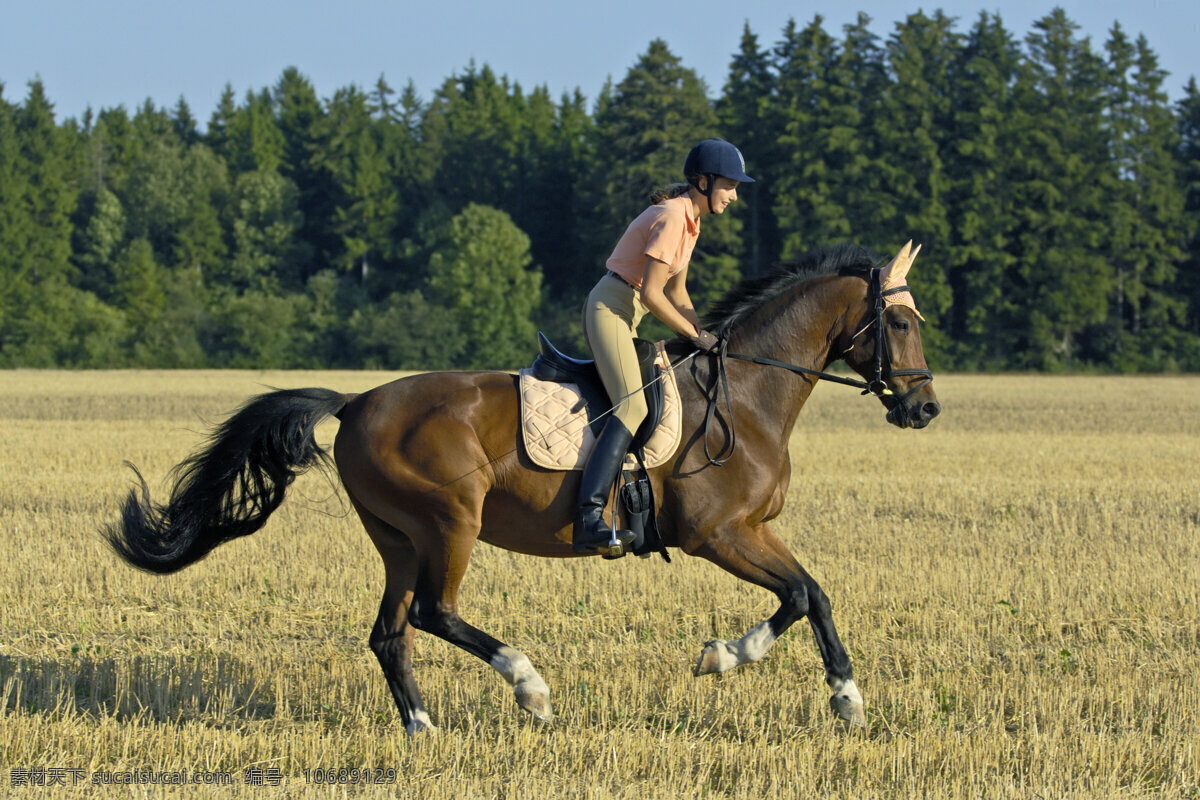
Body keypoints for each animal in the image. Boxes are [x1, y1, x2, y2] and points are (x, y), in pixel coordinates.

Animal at [105, 241, 936, 734]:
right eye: (898, 322)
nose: (924, 408)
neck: (748, 394)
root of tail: (355, 402)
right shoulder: (719, 534)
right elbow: (798, 596)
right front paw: (728, 660)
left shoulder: (753, 531)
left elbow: (813, 594)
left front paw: (845, 700)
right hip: (451, 520)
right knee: (435, 613)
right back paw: (530, 688)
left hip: (399, 538)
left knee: (392, 632)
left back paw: (422, 729)